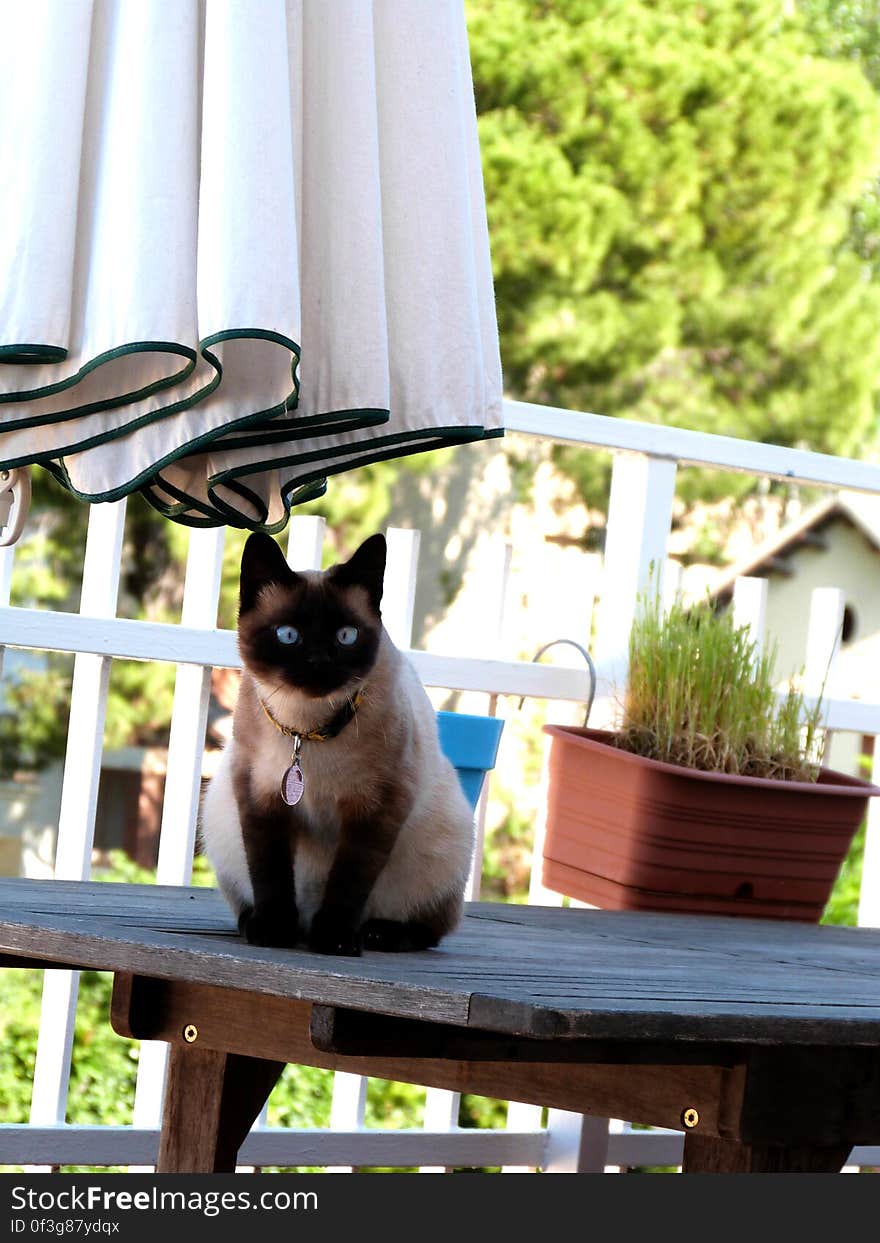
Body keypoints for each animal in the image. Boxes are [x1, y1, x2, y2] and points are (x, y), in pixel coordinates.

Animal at [201, 529, 474, 954]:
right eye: (288, 636)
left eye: (346, 637)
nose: (318, 664)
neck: (306, 732)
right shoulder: (260, 798)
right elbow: (270, 875)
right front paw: (273, 932)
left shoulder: (375, 809)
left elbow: (348, 883)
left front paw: (333, 941)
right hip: (219, 817)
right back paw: (262, 925)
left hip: (447, 841)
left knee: (430, 928)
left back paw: (373, 934)